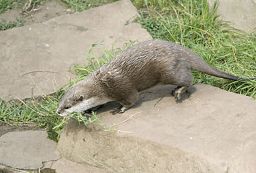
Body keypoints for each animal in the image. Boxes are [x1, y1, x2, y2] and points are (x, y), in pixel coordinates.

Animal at [56, 39, 254, 116]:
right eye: (60, 103)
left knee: (189, 80)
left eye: (67, 106)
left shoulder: (122, 87)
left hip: (168, 71)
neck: (102, 86)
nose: (58, 112)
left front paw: (120, 109)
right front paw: (91, 110)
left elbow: (132, 99)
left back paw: (178, 92)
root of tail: (181, 49)